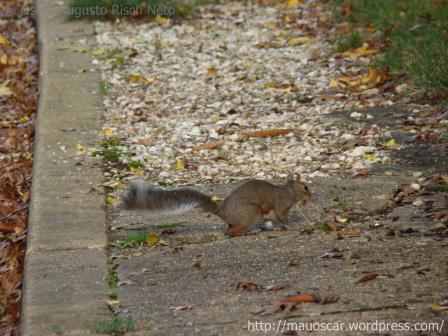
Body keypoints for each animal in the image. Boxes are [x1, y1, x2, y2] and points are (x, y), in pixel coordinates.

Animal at [121, 175, 312, 235]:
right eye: (305, 187)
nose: (311, 196)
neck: (289, 191)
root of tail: (224, 212)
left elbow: (271, 221)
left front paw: (273, 227)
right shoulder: (281, 205)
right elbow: (282, 217)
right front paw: (291, 226)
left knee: (229, 229)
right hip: (251, 213)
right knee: (233, 232)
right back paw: (251, 231)